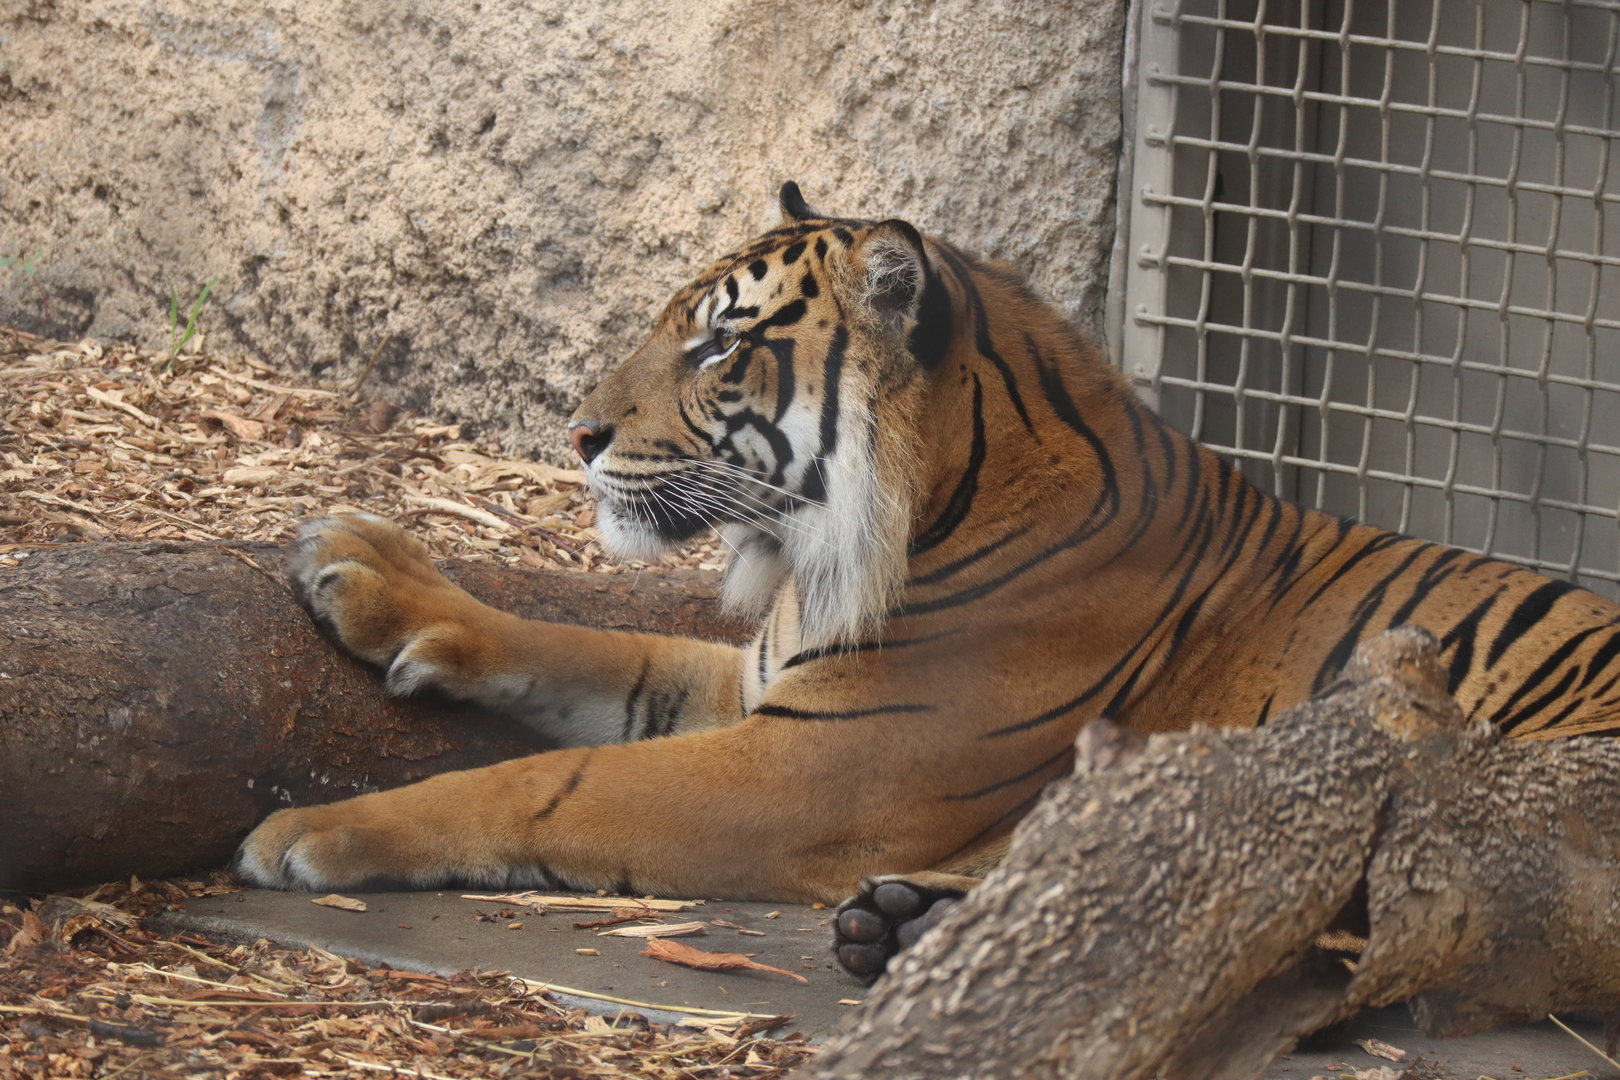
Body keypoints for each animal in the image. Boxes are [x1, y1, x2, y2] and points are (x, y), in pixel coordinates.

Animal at [237, 182, 1620, 979]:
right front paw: (364, 572)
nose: (576, 435)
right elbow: (585, 649)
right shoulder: (763, 687)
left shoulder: (813, 770)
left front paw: (317, 833)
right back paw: (907, 924)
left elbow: (547, 786)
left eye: (720, 344)